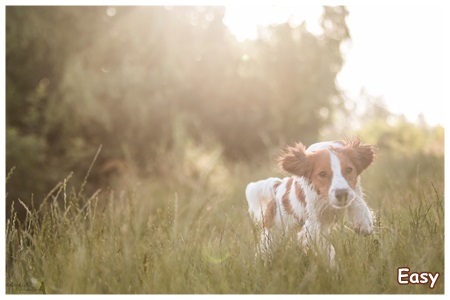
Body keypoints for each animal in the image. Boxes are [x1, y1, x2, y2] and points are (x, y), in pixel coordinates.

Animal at [246, 138, 376, 262]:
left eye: (349, 169)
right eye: (322, 174)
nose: (341, 194)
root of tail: (278, 186)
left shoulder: (353, 191)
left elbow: (357, 200)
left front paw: (364, 222)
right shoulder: (314, 220)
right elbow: (323, 246)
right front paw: (332, 266)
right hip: (274, 232)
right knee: (265, 249)